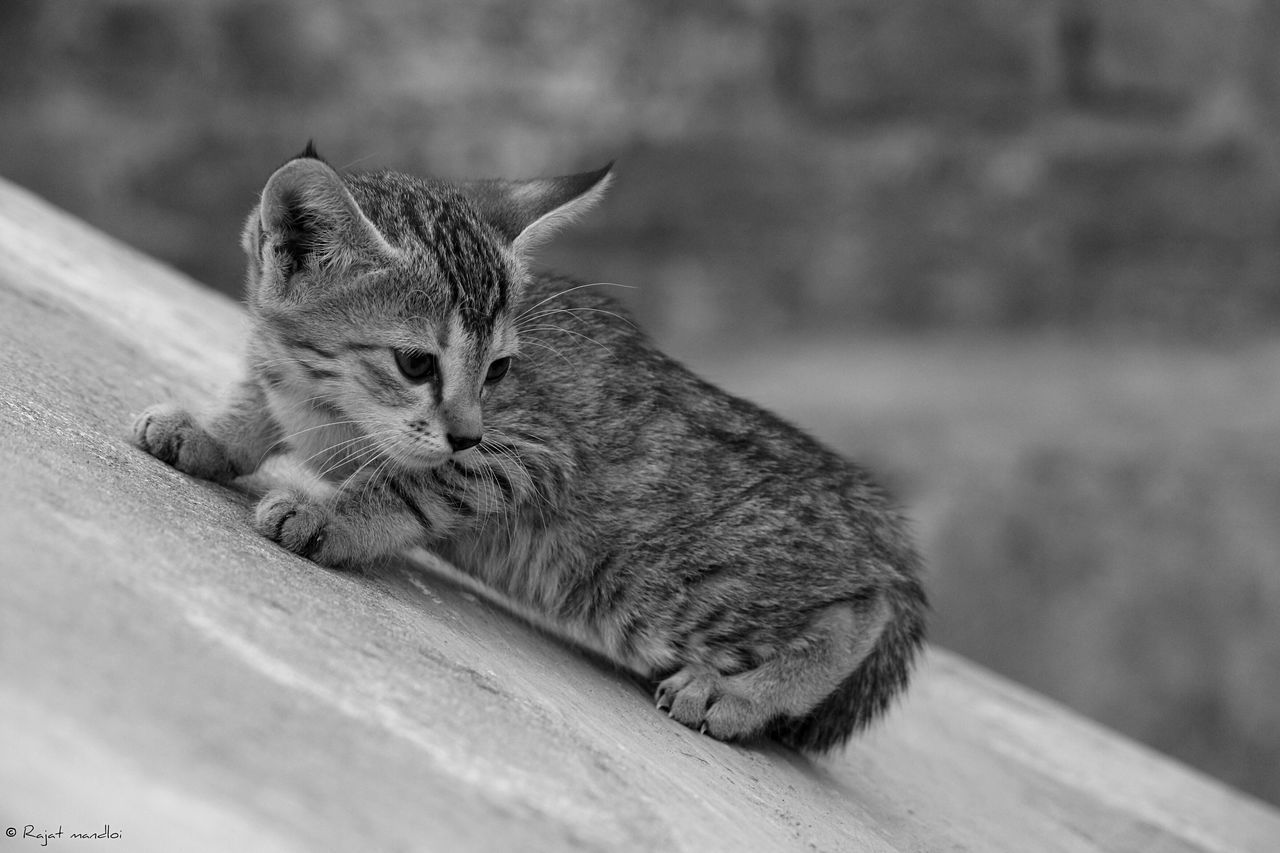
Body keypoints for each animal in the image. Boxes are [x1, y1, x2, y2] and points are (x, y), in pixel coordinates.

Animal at [135, 142, 926, 747]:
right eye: (417, 363)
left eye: (499, 370)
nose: (467, 430)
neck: (326, 401)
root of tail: (873, 514)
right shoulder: (284, 381)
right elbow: (254, 412)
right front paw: (205, 434)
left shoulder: (525, 452)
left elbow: (409, 484)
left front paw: (330, 516)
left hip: (672, 589)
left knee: (859, 612)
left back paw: (739, 695)